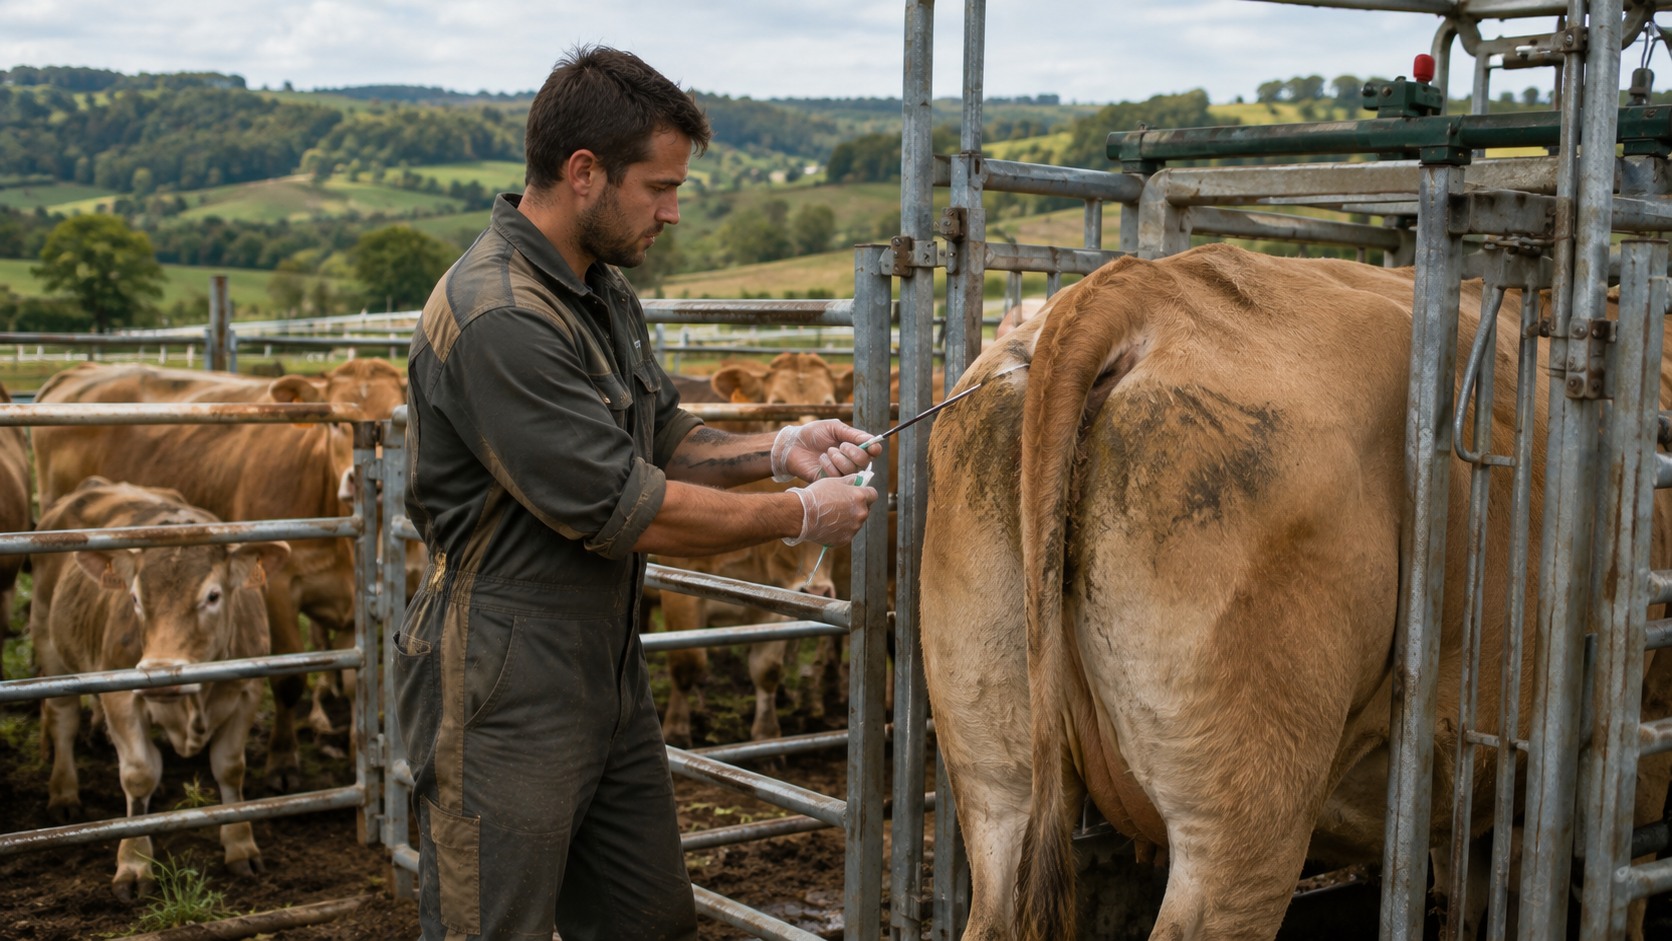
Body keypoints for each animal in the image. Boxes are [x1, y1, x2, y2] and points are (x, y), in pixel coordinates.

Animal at [30, 479, 288, 900]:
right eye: (134, 598)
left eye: (213, 596)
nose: (160, 669)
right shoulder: (120, 696)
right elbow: (138, 774)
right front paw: (134, 862)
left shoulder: (247, 691)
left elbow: (230, 768)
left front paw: (240, 846)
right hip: (49, 644)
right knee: (63, 720)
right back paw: (64, 794)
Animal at [31, 359, 408, 790]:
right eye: (334, 423)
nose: (360, 480)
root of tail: (80, 370)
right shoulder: (276, 588)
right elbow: (289, 681)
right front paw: (282, 762)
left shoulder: (355, 598)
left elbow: (355, 683)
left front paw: (354, 754)